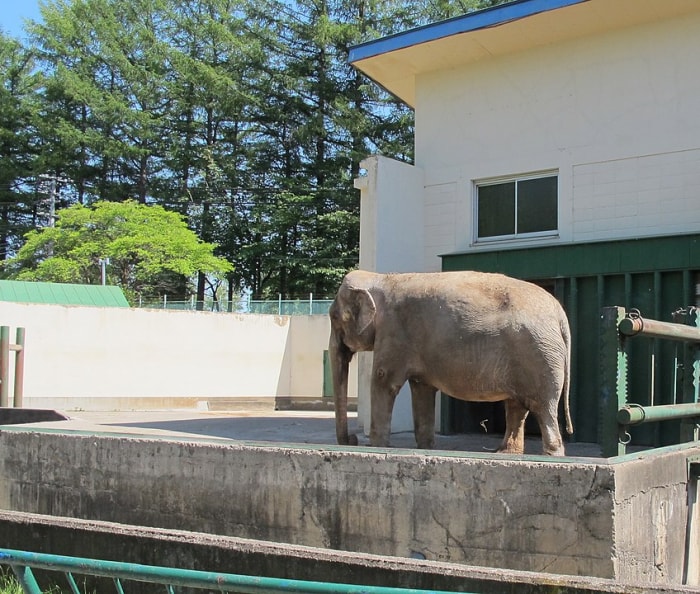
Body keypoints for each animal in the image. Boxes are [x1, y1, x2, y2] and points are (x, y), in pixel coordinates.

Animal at [330, 268, 576, 454]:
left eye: (334, 317)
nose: (352, 439)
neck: (380, 277)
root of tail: (560, 314)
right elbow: (422, 389)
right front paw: (425, 448)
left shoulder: (394, 332)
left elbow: (384, 381)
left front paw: (378, 447)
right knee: (517, 407)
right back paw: (506, 453)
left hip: (539, 357)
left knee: (543, 409)